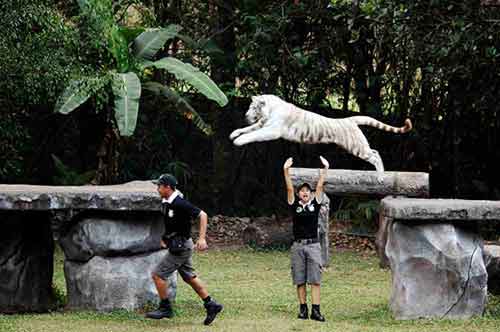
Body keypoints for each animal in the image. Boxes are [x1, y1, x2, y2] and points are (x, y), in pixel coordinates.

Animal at [229, 92, 412, 171]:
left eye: (253, 107)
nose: (245, 115)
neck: (271, 109)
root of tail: (350, 119)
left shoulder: (272, 130)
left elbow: (253, 135)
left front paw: (238, 141)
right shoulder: (263, 124)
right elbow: (248, 129)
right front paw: (234, 134)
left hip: (356, 147)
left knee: (375, 155)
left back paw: (381, 175)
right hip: (356, 146)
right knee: (374, 151)